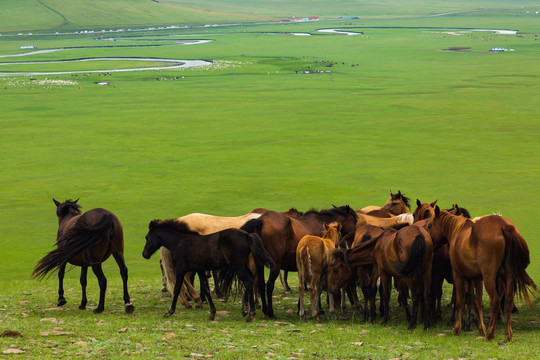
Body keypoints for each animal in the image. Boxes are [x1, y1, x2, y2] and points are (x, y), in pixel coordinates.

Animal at [141, 218, 276, 322]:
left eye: (147, 237)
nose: (144, 254)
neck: (180, 242)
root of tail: (247, 235)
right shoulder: (200, 269)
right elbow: (205, 288)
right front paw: (212, 313)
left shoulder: (181, 269)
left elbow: (177, 288)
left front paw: (170, 311)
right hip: (243, 265)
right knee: (251, 279)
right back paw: (246, 311)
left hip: (238, 265)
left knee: (248, 282)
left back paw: (250, 315)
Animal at [430, 205, 536, 340]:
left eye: (430, 225)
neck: (457, 231)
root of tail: (504, 226)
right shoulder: (477, 278)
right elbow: (478, 302)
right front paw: (480, 328)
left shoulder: (458, 275)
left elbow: (460, 301)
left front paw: (457, 328)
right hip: (508, 277)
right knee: (508, 301)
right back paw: (508, 334)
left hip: (489, 278)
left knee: (495, 301)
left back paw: (490, 333)